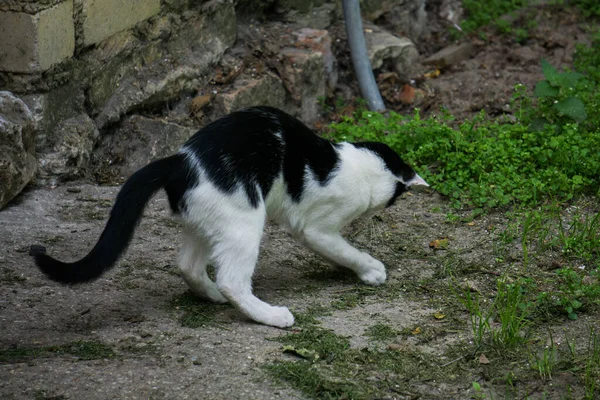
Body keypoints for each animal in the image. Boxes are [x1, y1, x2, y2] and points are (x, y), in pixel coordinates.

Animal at [32, 106, 428, 328]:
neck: (355, 164)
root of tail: (180, 161)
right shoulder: (316, 229)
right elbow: (345, 250)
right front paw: (370, 269)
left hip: (207, 223)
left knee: (189, 265)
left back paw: (210, 295)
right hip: (244, 221)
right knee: (232, 280)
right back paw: (271, 316)